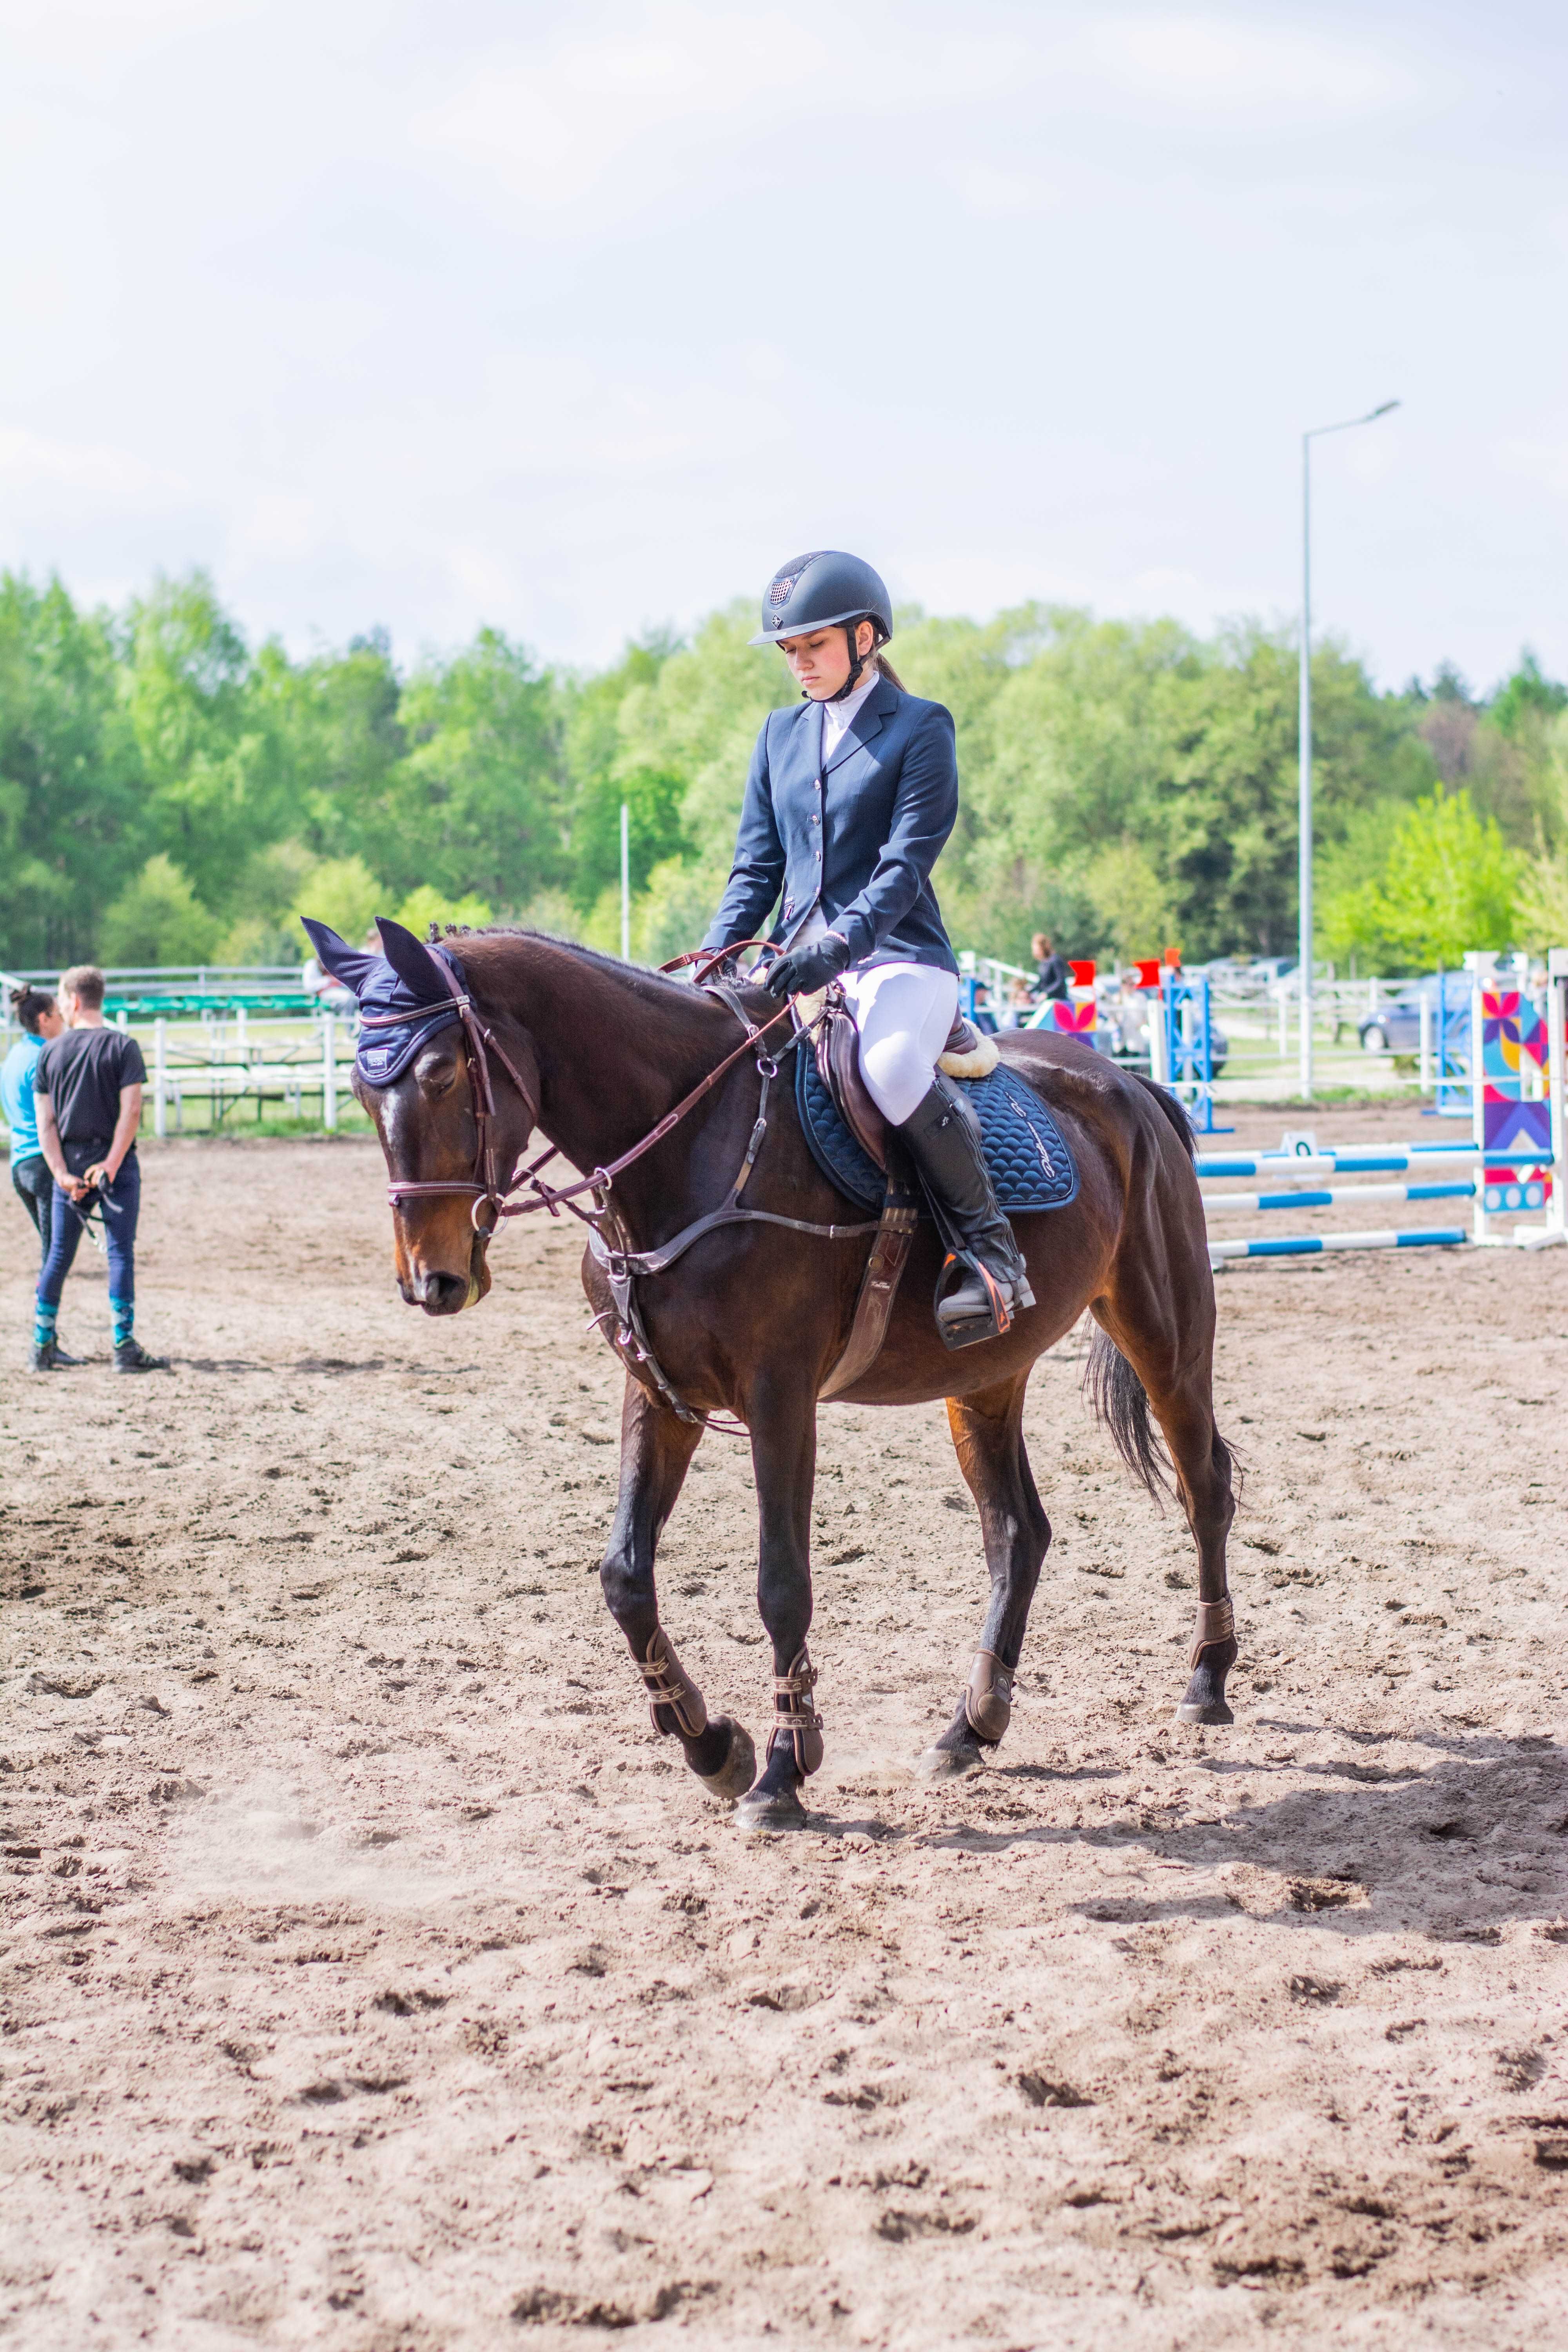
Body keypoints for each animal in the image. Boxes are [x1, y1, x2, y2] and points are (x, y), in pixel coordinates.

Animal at [345, 922, 1241, 1835]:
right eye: (358, 1089)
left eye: (440, 1073)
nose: (431, 1281)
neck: (690, 1145)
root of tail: (1126, 1082)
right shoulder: (660, 1398)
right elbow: (624, 1577)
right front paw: (711, 1745)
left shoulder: (779, 1399)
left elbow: (781, 1584)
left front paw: (782, 1769)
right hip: (984, 1372)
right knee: (1016, 1531)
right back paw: (971, 1727)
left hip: (1163, 1333)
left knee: (1203, 1484)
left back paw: (1205, 1682)